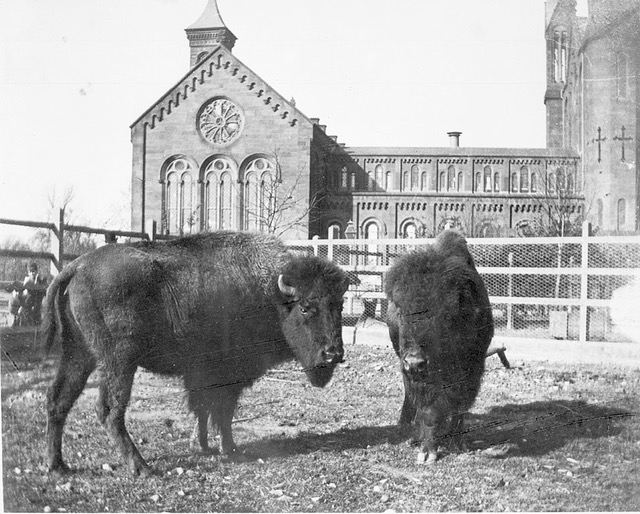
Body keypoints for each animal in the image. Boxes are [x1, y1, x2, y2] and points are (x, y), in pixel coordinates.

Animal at [43, 231, 349, 475]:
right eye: (306, 308)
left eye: (340, 305)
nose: (333, 354)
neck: (271, 294)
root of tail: (77, 265)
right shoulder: (227, 375)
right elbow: (222, 411)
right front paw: (230, 449)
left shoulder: (201, 375)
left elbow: (203, 408)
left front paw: (201, 445)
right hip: (119, 361)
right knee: (109, 409)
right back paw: (141, 467)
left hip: (79, 353)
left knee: (59, 399)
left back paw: (58, 466)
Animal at [385, 230, 494, 464]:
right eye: (400, 311)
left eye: (446, 312)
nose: (415, 362)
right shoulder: (420, 377)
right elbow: (428, 409)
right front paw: (426, 451)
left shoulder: (472, 369)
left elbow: (460, 405)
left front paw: (457, 442)